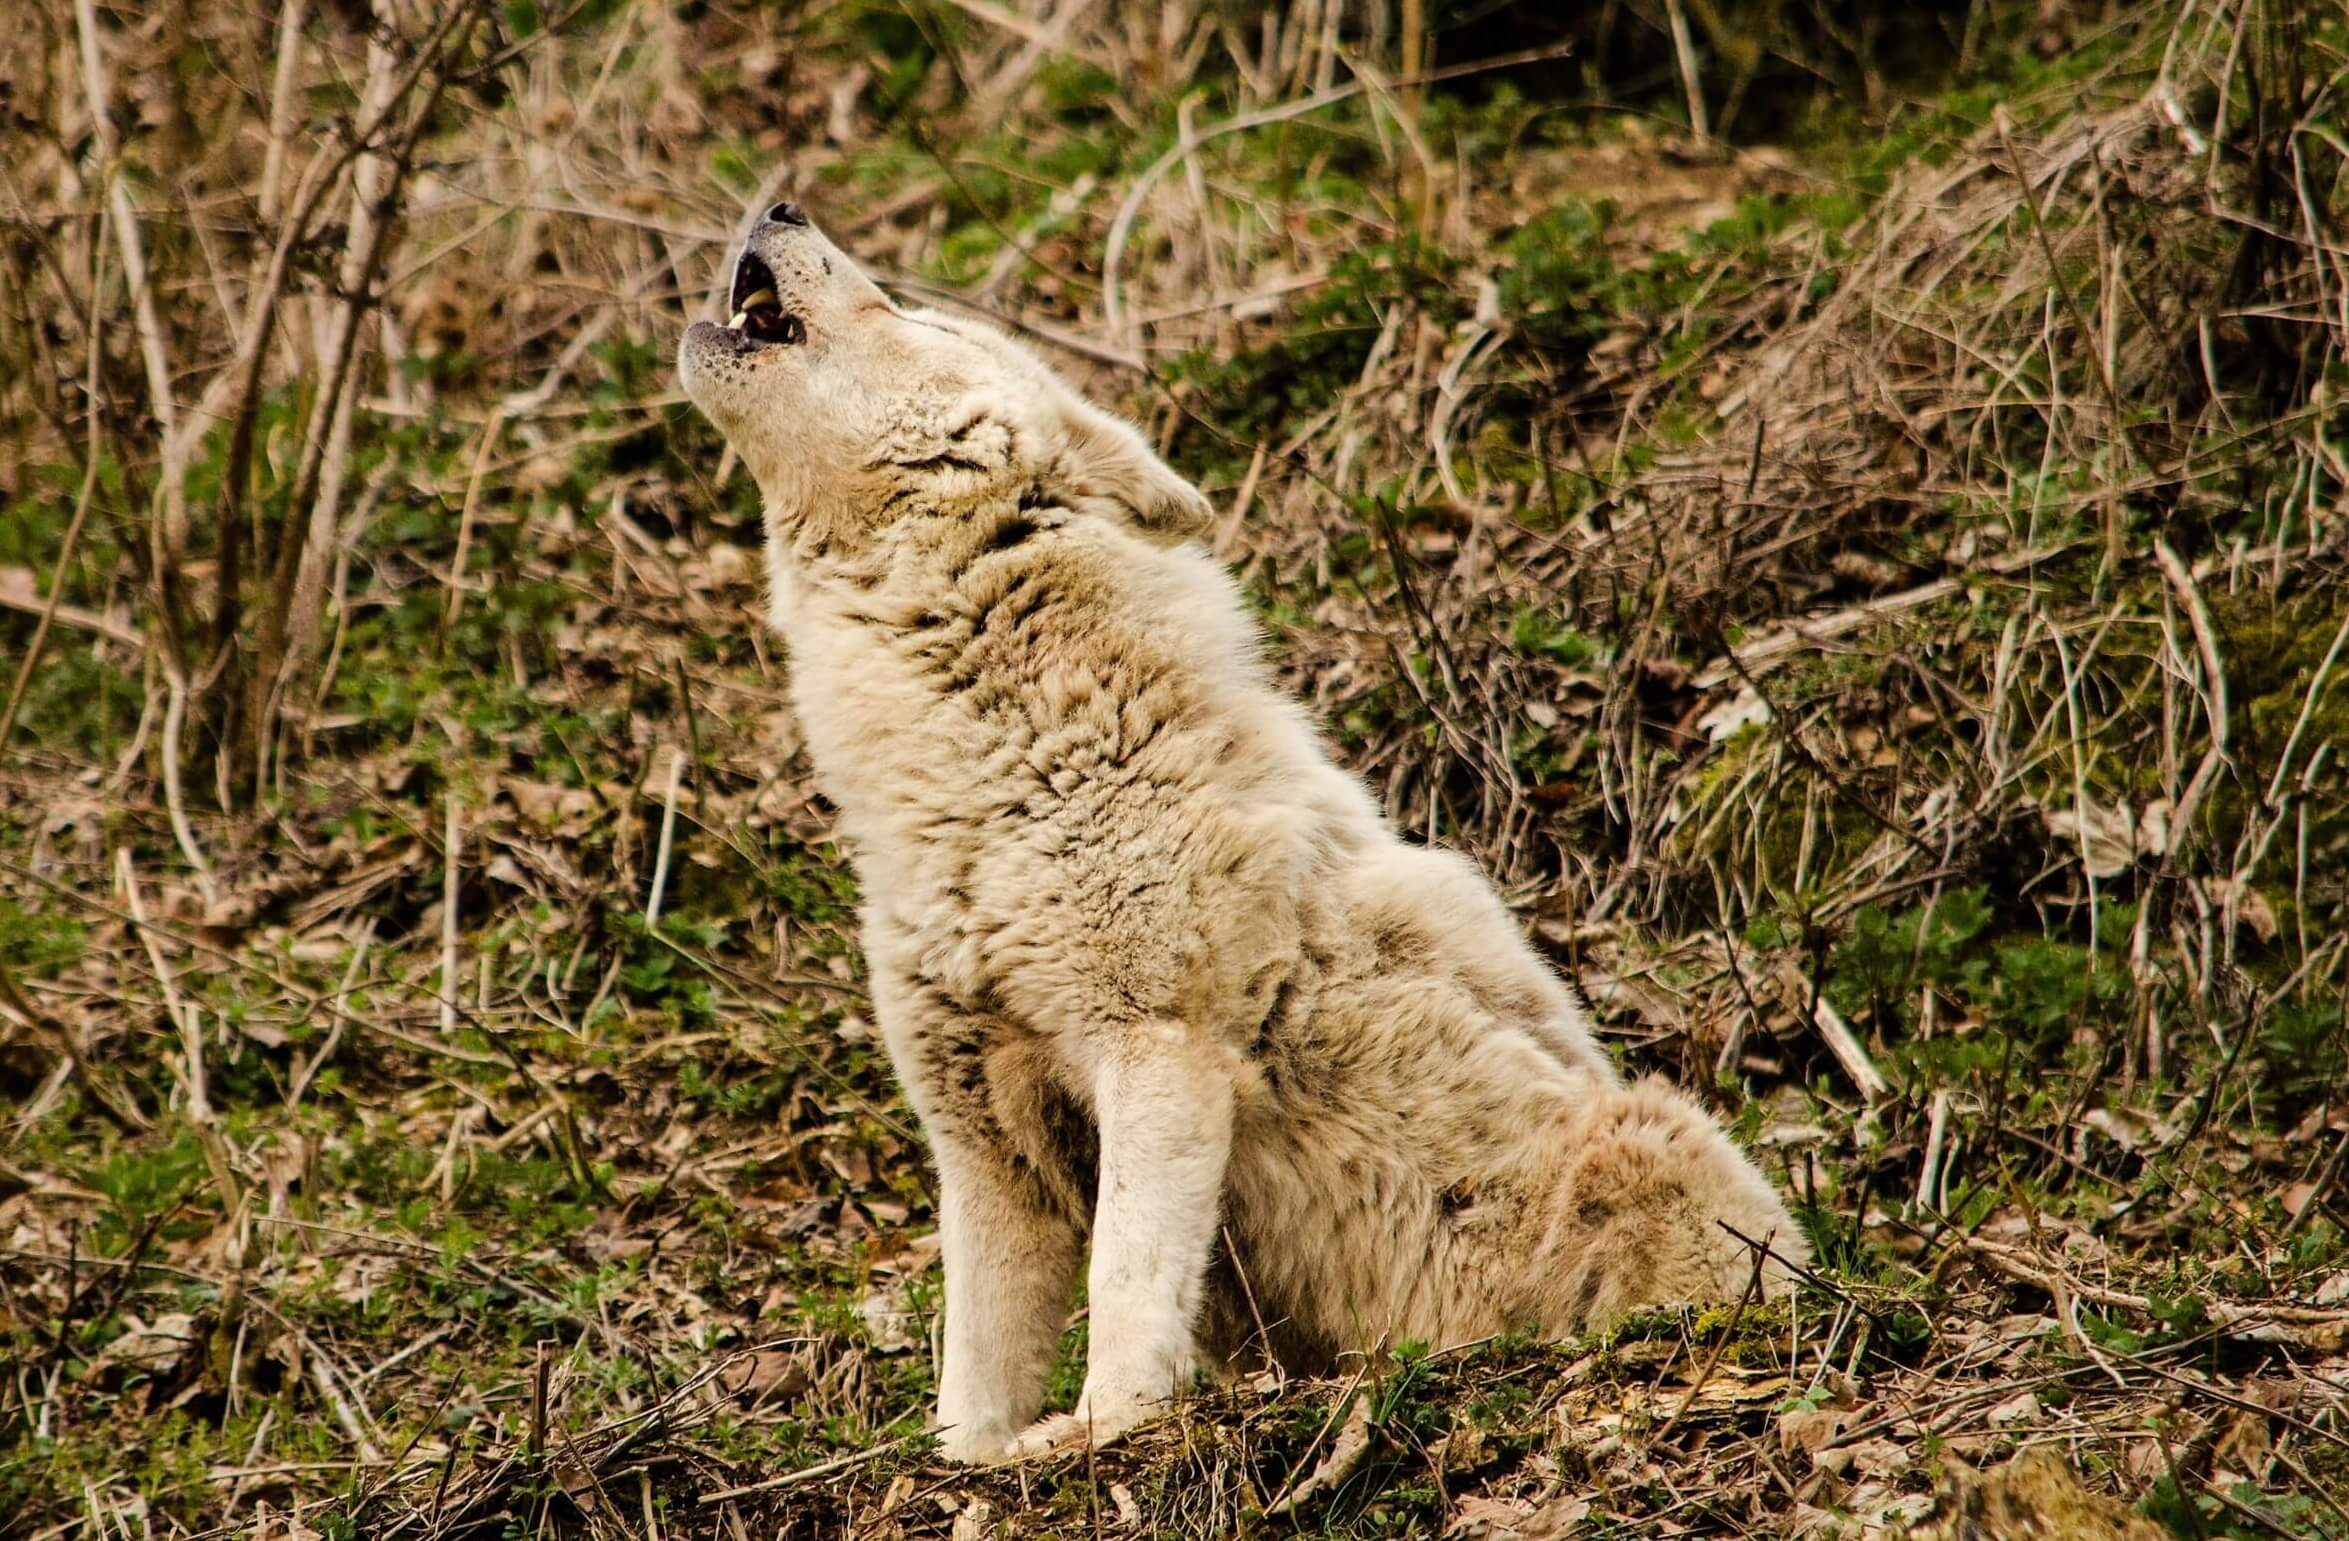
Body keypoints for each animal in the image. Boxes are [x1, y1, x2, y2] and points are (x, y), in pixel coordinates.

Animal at [679, 201, 1806, 1464]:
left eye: (920, 318)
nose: (780, 206)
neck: (990, 763)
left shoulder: (1160, 1050)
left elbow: (1125, 1291)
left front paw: (1102, 1431)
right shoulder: (984, 1141)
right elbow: (971, 1374)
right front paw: (972, 1459)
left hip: (1649, 1136)